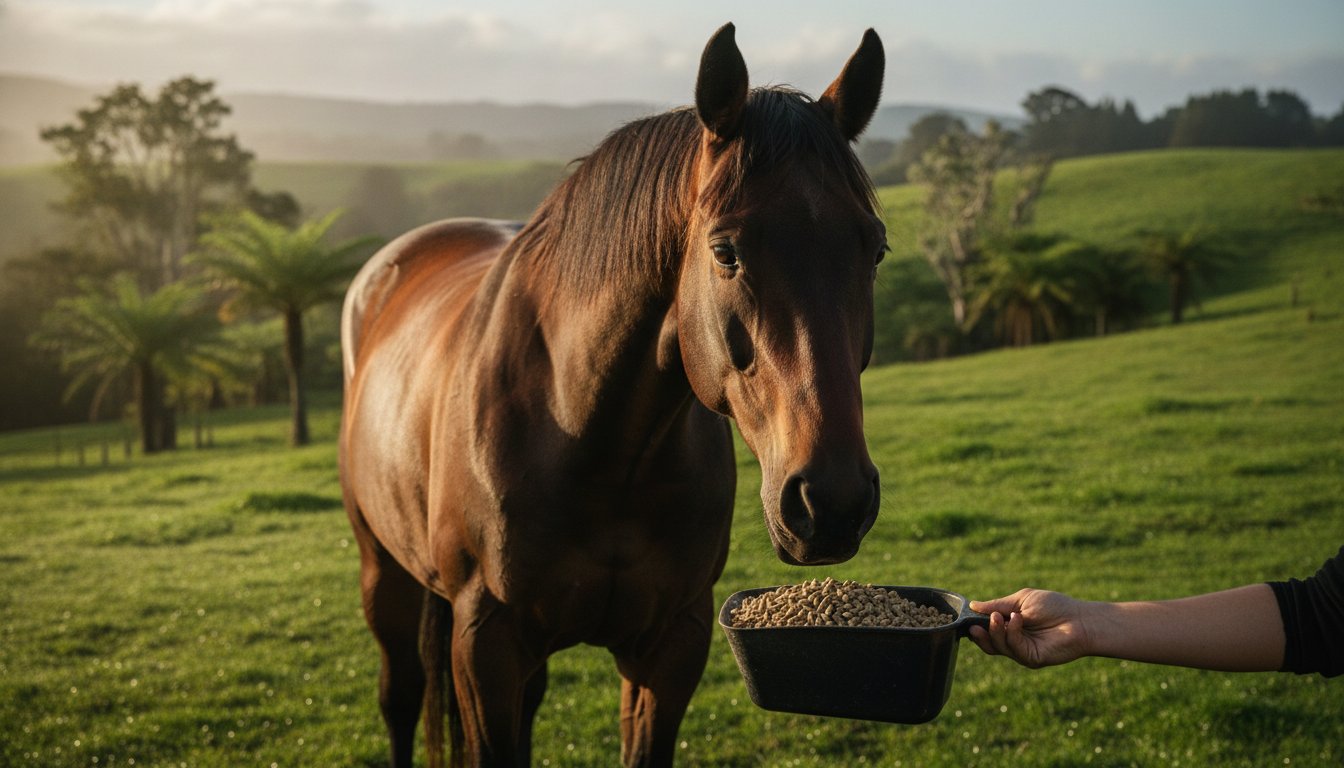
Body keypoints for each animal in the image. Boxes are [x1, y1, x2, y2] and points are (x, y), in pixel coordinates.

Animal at [339, 23, 887, 767]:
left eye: (875, 249)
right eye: (725, 252)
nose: (830, 503)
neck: (585, 435)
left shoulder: (673, 642)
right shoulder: (484, 643)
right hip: (382, 570)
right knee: (398, 696)